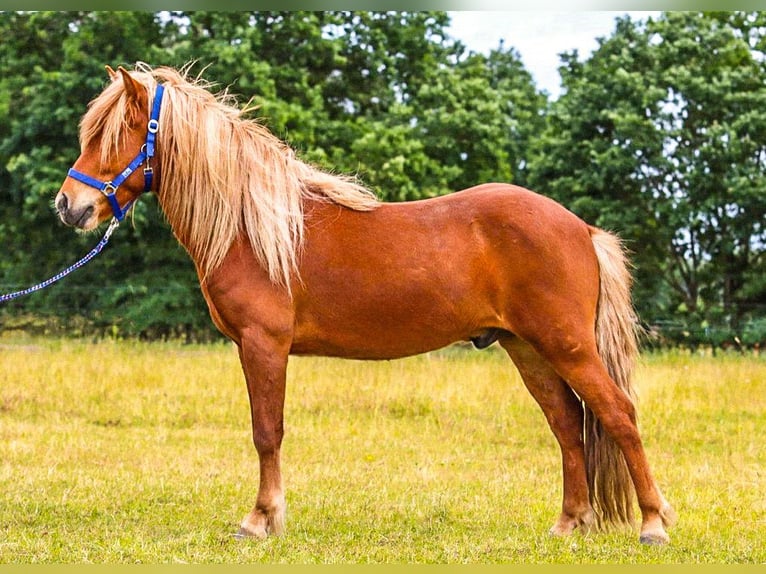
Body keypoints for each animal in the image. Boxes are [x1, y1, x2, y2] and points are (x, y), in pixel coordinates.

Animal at [54, 65, 680, 548]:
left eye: (118, 133)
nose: (69, 205)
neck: (253, 227)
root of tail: (580, 229)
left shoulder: (263, 345)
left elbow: (266, 431)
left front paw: (260, 521)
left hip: (566, 345)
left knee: (618, 415)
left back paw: (652, 525)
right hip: (528, 349)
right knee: (568, 426)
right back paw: (569, 525)